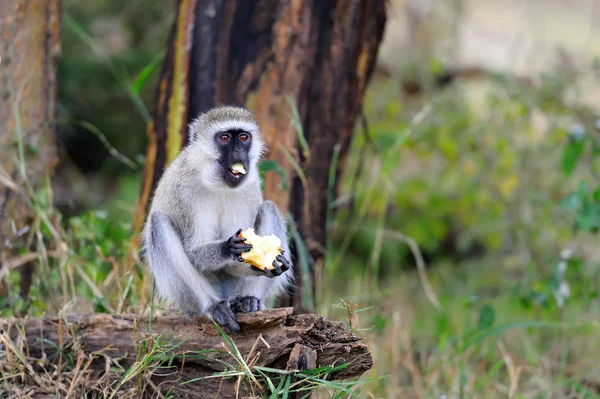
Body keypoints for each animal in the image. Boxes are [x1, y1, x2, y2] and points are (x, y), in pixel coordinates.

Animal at [141, 105, 290, 332]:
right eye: (225, 138)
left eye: (244, 137)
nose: (238, 151)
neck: (218, 182)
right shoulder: (184, 190)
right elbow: (194, 252)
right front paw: (228, 247)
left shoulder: (250, 185)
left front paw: (263, 264)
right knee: (158, 224)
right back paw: (213, 306)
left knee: (269, 208)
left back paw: (248, 299)